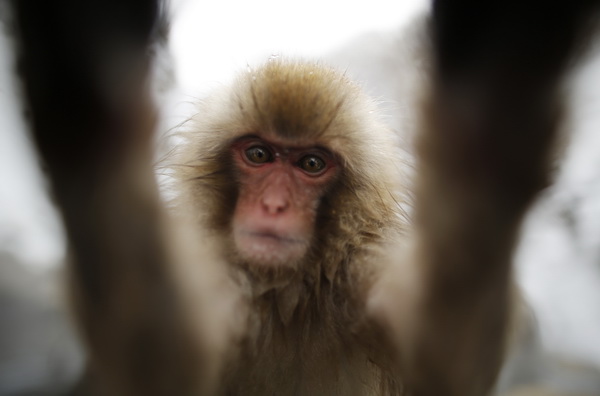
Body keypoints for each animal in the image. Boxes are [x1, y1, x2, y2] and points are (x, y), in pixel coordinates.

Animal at [9, 0, 600, 396]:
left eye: (311, 165)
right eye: (259, 155)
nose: (273, 207)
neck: (288, 288)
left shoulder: (366, 273)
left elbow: (444, 354)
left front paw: (492, 120)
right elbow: (161, 358)